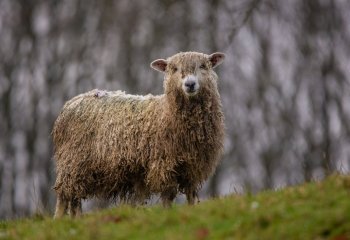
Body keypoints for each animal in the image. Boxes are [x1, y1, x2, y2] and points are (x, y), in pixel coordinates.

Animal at [53, 51, 226, 218]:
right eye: (174, 69)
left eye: (203, 66)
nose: (190, 84)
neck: (165, 113)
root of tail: (71, 103)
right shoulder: (163, 166)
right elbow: (168, 196)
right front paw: (167, 215)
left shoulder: (193, 168)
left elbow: (192, 196)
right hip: (72, 163)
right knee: (64, 198)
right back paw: (59, 221)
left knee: (74, 200)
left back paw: (76, 220)